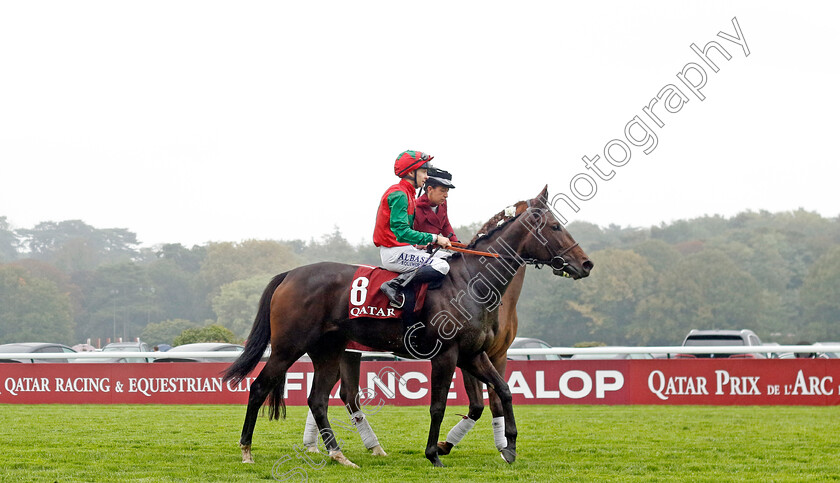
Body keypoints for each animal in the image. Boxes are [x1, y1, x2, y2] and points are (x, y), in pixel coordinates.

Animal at [223, 186, 592, 468]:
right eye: (555, 226)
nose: (586, 264)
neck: (471, 282)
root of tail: (290, 274)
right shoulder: (447, 355)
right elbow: (439, 405)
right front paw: (434, 454)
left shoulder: (474, 354)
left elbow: (503, 391)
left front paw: (510, 448)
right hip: (288, 346)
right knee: (260, 388)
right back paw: (247, 451)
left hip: (328, 352)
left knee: (319, 400)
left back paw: (340, 455)